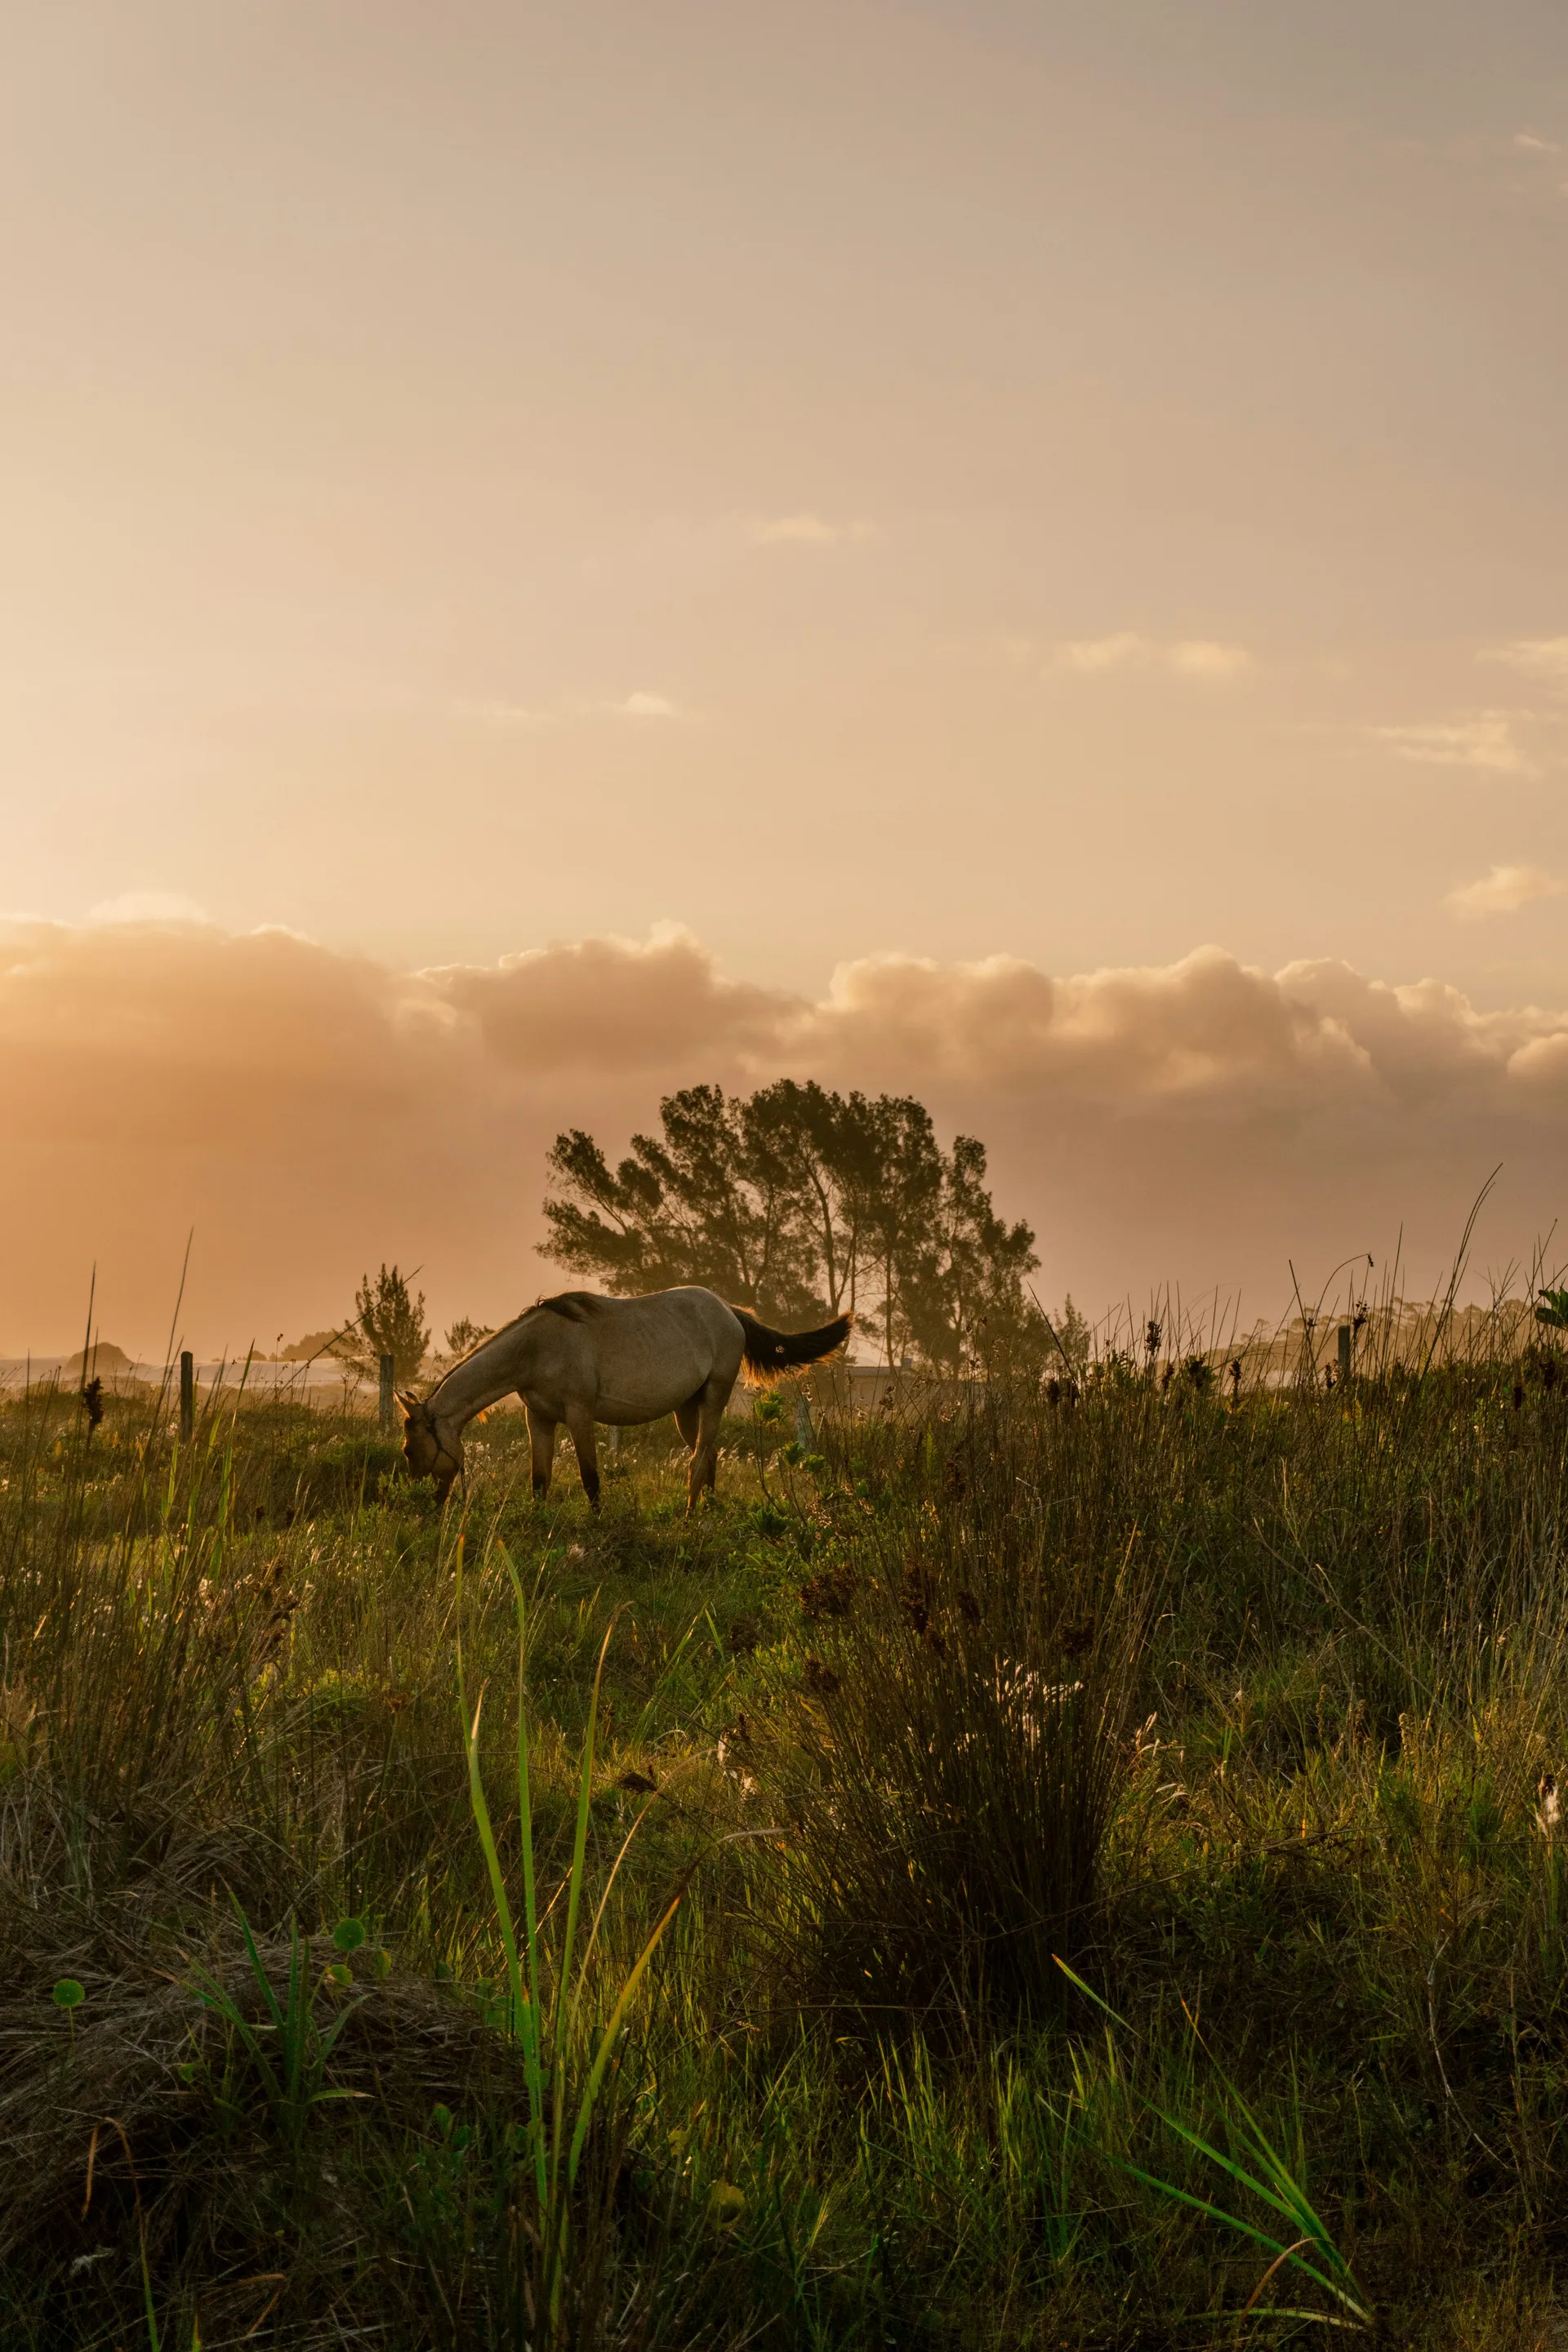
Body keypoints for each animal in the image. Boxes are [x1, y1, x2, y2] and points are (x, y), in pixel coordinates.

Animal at [399, 1286, 851, 1512]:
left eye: (409, 1450)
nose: (426, 1507)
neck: (538, 1348)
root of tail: (729, 1310)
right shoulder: (539, 1420)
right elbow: (540, 1481)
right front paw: (537, 1525)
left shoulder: (579, 1416)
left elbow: (590, 1479)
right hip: (687, 1411)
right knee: (709, 1458)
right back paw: (710, 1511)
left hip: (715, 1400)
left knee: (698, 1461)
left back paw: (691, 1519)